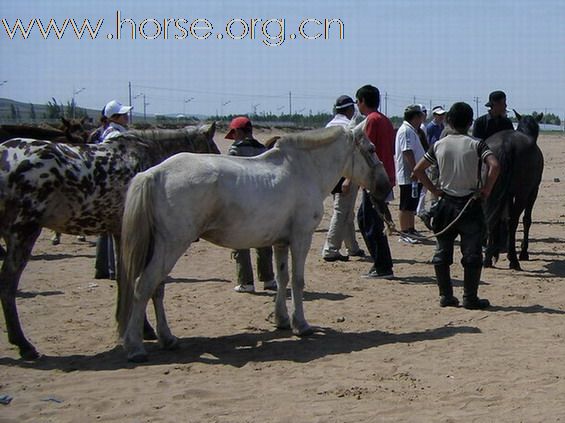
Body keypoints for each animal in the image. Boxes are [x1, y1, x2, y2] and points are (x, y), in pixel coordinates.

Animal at [0, 124, 218, 360]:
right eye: (213, 146)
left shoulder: (121, 234)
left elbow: (127, 281)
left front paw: (141, 329)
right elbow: (146, 284)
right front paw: (150, 332)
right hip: (23, 233)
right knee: (8, 285)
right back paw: (24, 344)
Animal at [118, 124, 392, 362]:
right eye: (371, 149)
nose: (386, 187)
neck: (303, 171)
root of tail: (154, 173)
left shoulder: (281, 242)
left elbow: (282, 278)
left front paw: (282, 320)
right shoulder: (301, 238)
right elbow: (298, 281)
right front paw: (301, 325)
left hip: (161, 248)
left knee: (157, 288)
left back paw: (167, 338)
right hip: (172, 245)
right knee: (144, 286)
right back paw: (135, 347)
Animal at [482, 112, 544, 272]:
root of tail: (506, 144)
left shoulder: (508, 195)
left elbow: (502, 218)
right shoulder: (532, 192)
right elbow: (526, 220)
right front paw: (523, 252)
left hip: (490, 192)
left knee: (491, 220)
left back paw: (488, 258)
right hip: (523, 194)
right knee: (513, 221)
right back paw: (514, 260)